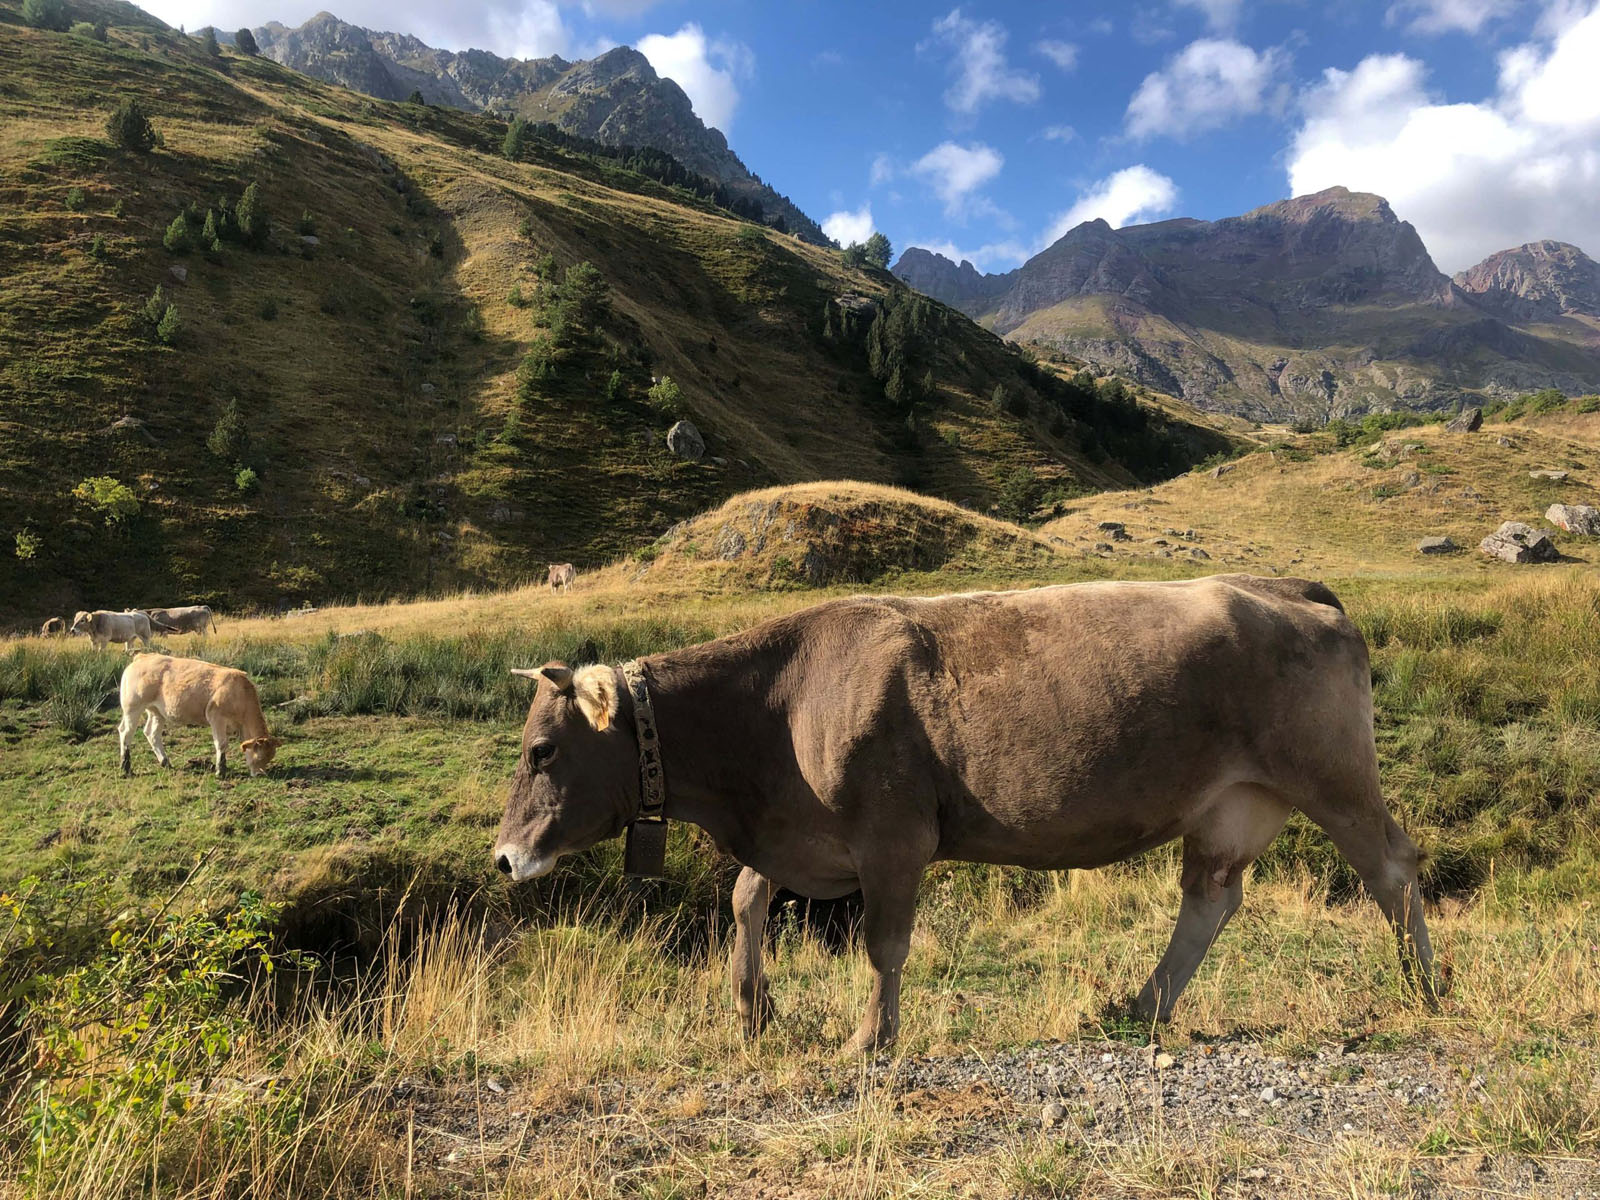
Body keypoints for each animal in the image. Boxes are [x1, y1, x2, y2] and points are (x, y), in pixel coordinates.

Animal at [116, 659, 281, 780]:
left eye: (270, 757)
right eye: (259, 756)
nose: (260, 774)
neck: (240, 693)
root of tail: (142, 657)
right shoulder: (216, 718)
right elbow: (221, 744)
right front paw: (220, 771)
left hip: (157, 712)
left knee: (152, 733)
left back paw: (165, 762)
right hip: (133, 708)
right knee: (126, 732)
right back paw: (125, 767)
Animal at [496, 579, 1440, 1056]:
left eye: (542, 750)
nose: (504, 858)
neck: (777, 705)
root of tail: (1289, 586)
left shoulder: (892, 836)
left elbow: (883, 943)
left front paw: (869, 1039)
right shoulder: (795, 829)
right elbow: (744, 899)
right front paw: (753, 1008)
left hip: (1331, 772)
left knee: (1391, 867)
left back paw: (1426, 987)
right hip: (1233, 802)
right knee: (1210, 898)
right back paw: (1143, 1006)